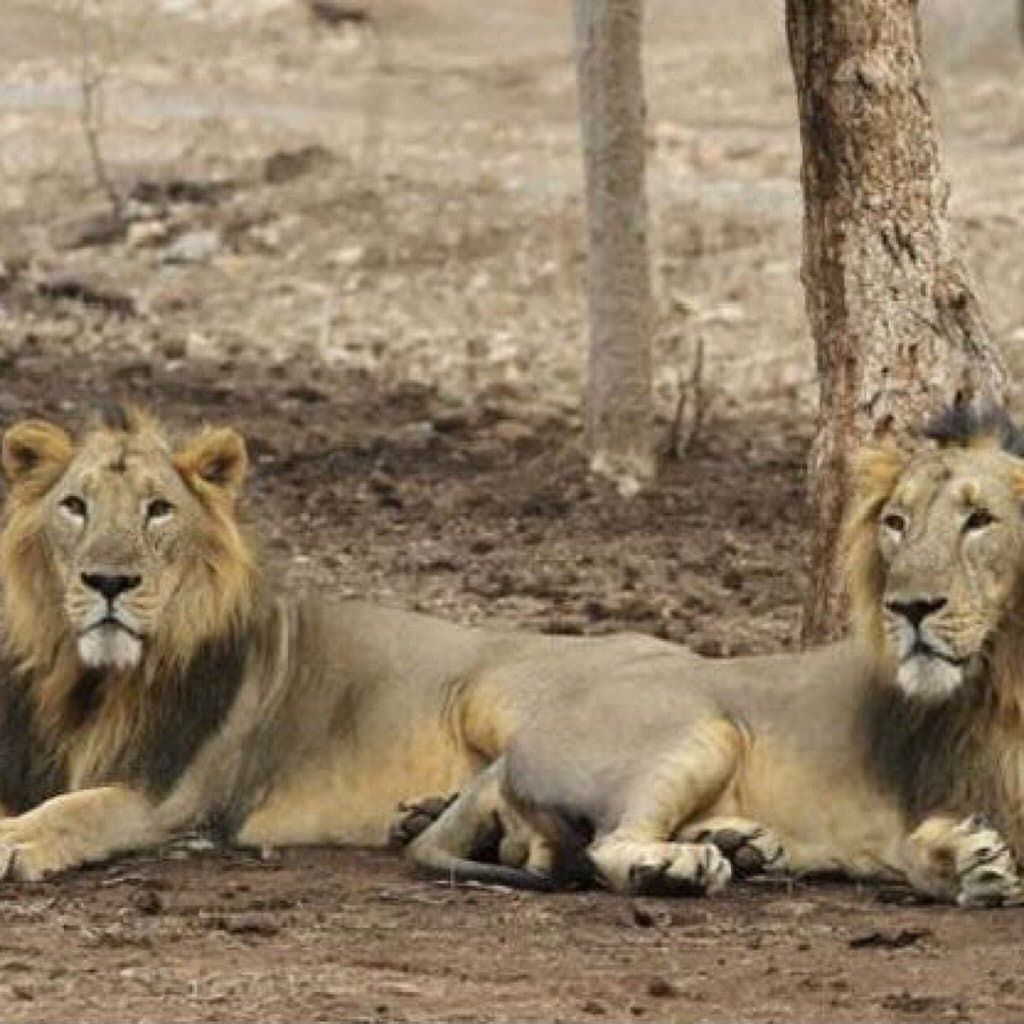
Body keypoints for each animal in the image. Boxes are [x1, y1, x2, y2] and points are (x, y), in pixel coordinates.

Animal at [0, 404, 683, 882]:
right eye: (74, 506)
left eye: (159, 509)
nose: (109, 582)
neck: (90, 683)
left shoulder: (177, 797)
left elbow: (80, 807)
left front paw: (15, 838)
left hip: (496, 696)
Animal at [402, 406, 1024, 906]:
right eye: (896, 523)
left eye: (979, 520)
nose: (909, 607)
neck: (1006, 670)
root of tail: (513, 750)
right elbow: (921, 847)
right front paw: (964, 861)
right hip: (704, 731)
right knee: (604, 846)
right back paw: (680, 866)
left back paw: (737, 842)